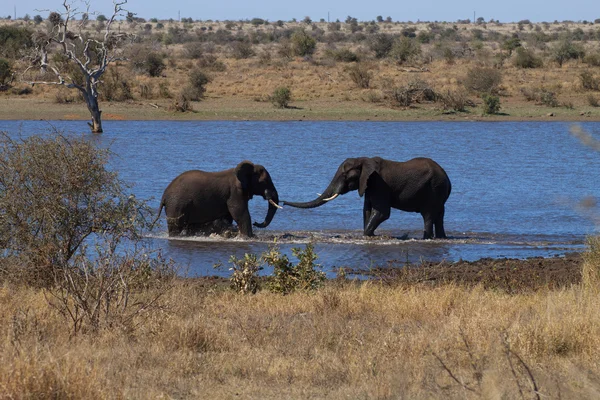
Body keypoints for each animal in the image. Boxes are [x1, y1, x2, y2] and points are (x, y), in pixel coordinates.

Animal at [284, 155, 450, 238]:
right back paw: (440, 238)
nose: (283, 202)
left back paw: (427, 238)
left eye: (345, 175)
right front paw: (370, 236)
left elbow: (382, 212)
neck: (364, 160)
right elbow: (367, 211)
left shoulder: (379, 184)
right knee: (439, 215)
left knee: (428, 215)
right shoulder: (369, 185)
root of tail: (447, 178)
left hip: (433, 189)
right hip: (438, 192)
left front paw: (368, 234)